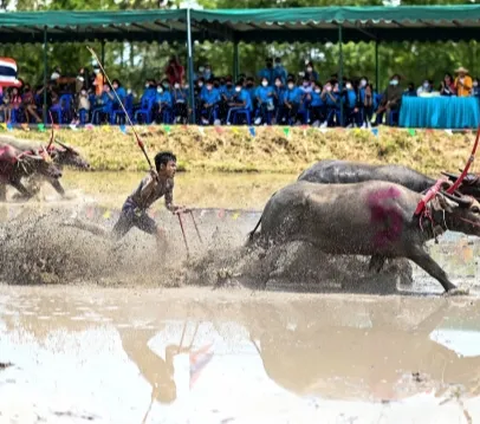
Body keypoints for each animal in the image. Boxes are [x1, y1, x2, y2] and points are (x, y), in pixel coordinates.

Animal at [248, 180, 480, 294]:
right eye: (476, 209)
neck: (419, 210)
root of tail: (274, 196)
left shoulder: (380, 253)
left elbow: (372, 270)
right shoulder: (412, 248)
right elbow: (435, 268)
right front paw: (455, 288)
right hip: (271, 238)